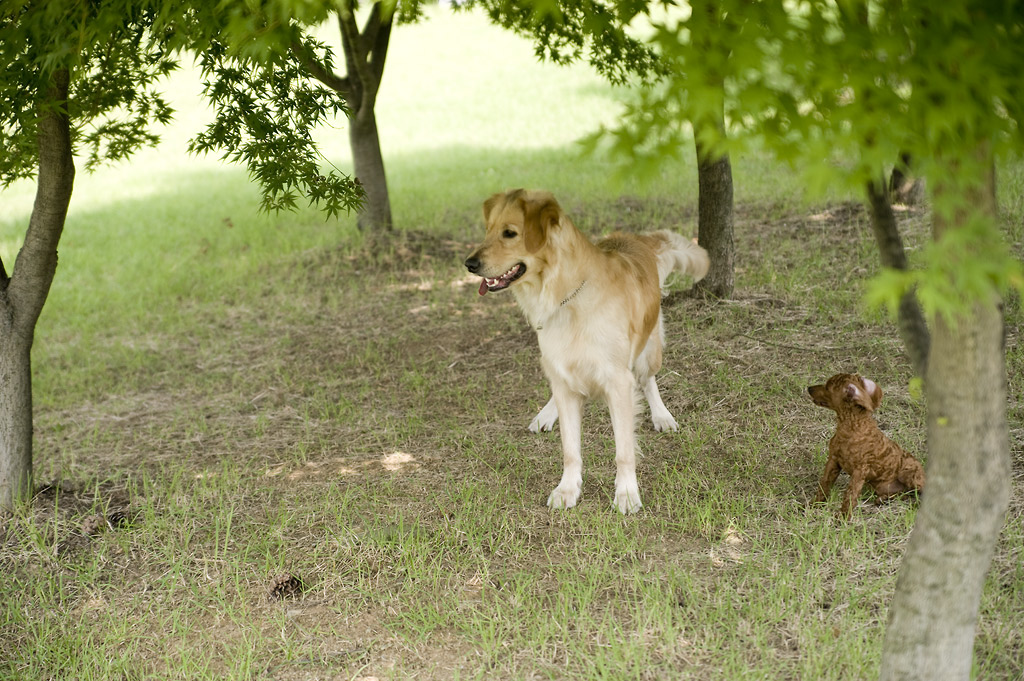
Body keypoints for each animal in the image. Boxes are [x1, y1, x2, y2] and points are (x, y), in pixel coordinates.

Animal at [466, 188, 712, 512]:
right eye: (488, 230)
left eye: (510, 233)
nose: (469, 264)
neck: (565, 298)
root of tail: (636, 238)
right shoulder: (562, 372)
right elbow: (570, 448)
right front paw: (567, 488)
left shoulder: (618, 381)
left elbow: (624, 450)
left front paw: (626, 493)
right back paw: (547, 414)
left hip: (650, 348)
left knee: (648, 379)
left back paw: (661, 415)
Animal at [806, 374, 929, 518]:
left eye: (827, 386)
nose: (809, 388)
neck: (851, 427)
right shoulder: (833, 460)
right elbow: (824, 483)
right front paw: (813, 504)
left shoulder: (860, 470)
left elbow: (851, 493)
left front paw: (843, 517)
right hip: (876, 485)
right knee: (904, 494)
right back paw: (883, 499)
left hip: (910, 473)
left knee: (919, 491)